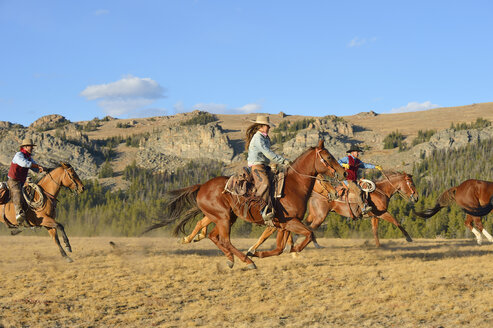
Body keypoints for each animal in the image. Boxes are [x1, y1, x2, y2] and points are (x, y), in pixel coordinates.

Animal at [144, 139, 346, 270]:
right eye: (328, 157)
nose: (343, 174)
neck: (293, 186)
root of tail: (202, 186)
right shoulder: (290, 222)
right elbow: (309, 234)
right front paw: (293, 249)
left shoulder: (283, 225)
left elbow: (280, 248)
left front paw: (258, 253)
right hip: (223, 217)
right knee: (223, 239)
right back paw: (247, 262)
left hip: (224, 217)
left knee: (213, 236)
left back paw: (231, 259)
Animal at [246, 170, 418, 252]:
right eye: (410, 183)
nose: (416, 197)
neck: (380, 191)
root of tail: (316, 194)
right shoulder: (381, 213)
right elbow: (396, 221)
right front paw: (409, 238)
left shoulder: (374, 216)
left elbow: (375, 230)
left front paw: (378, 245)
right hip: (320, 216)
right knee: (309, 229)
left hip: (314, 215)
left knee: (304, 226)